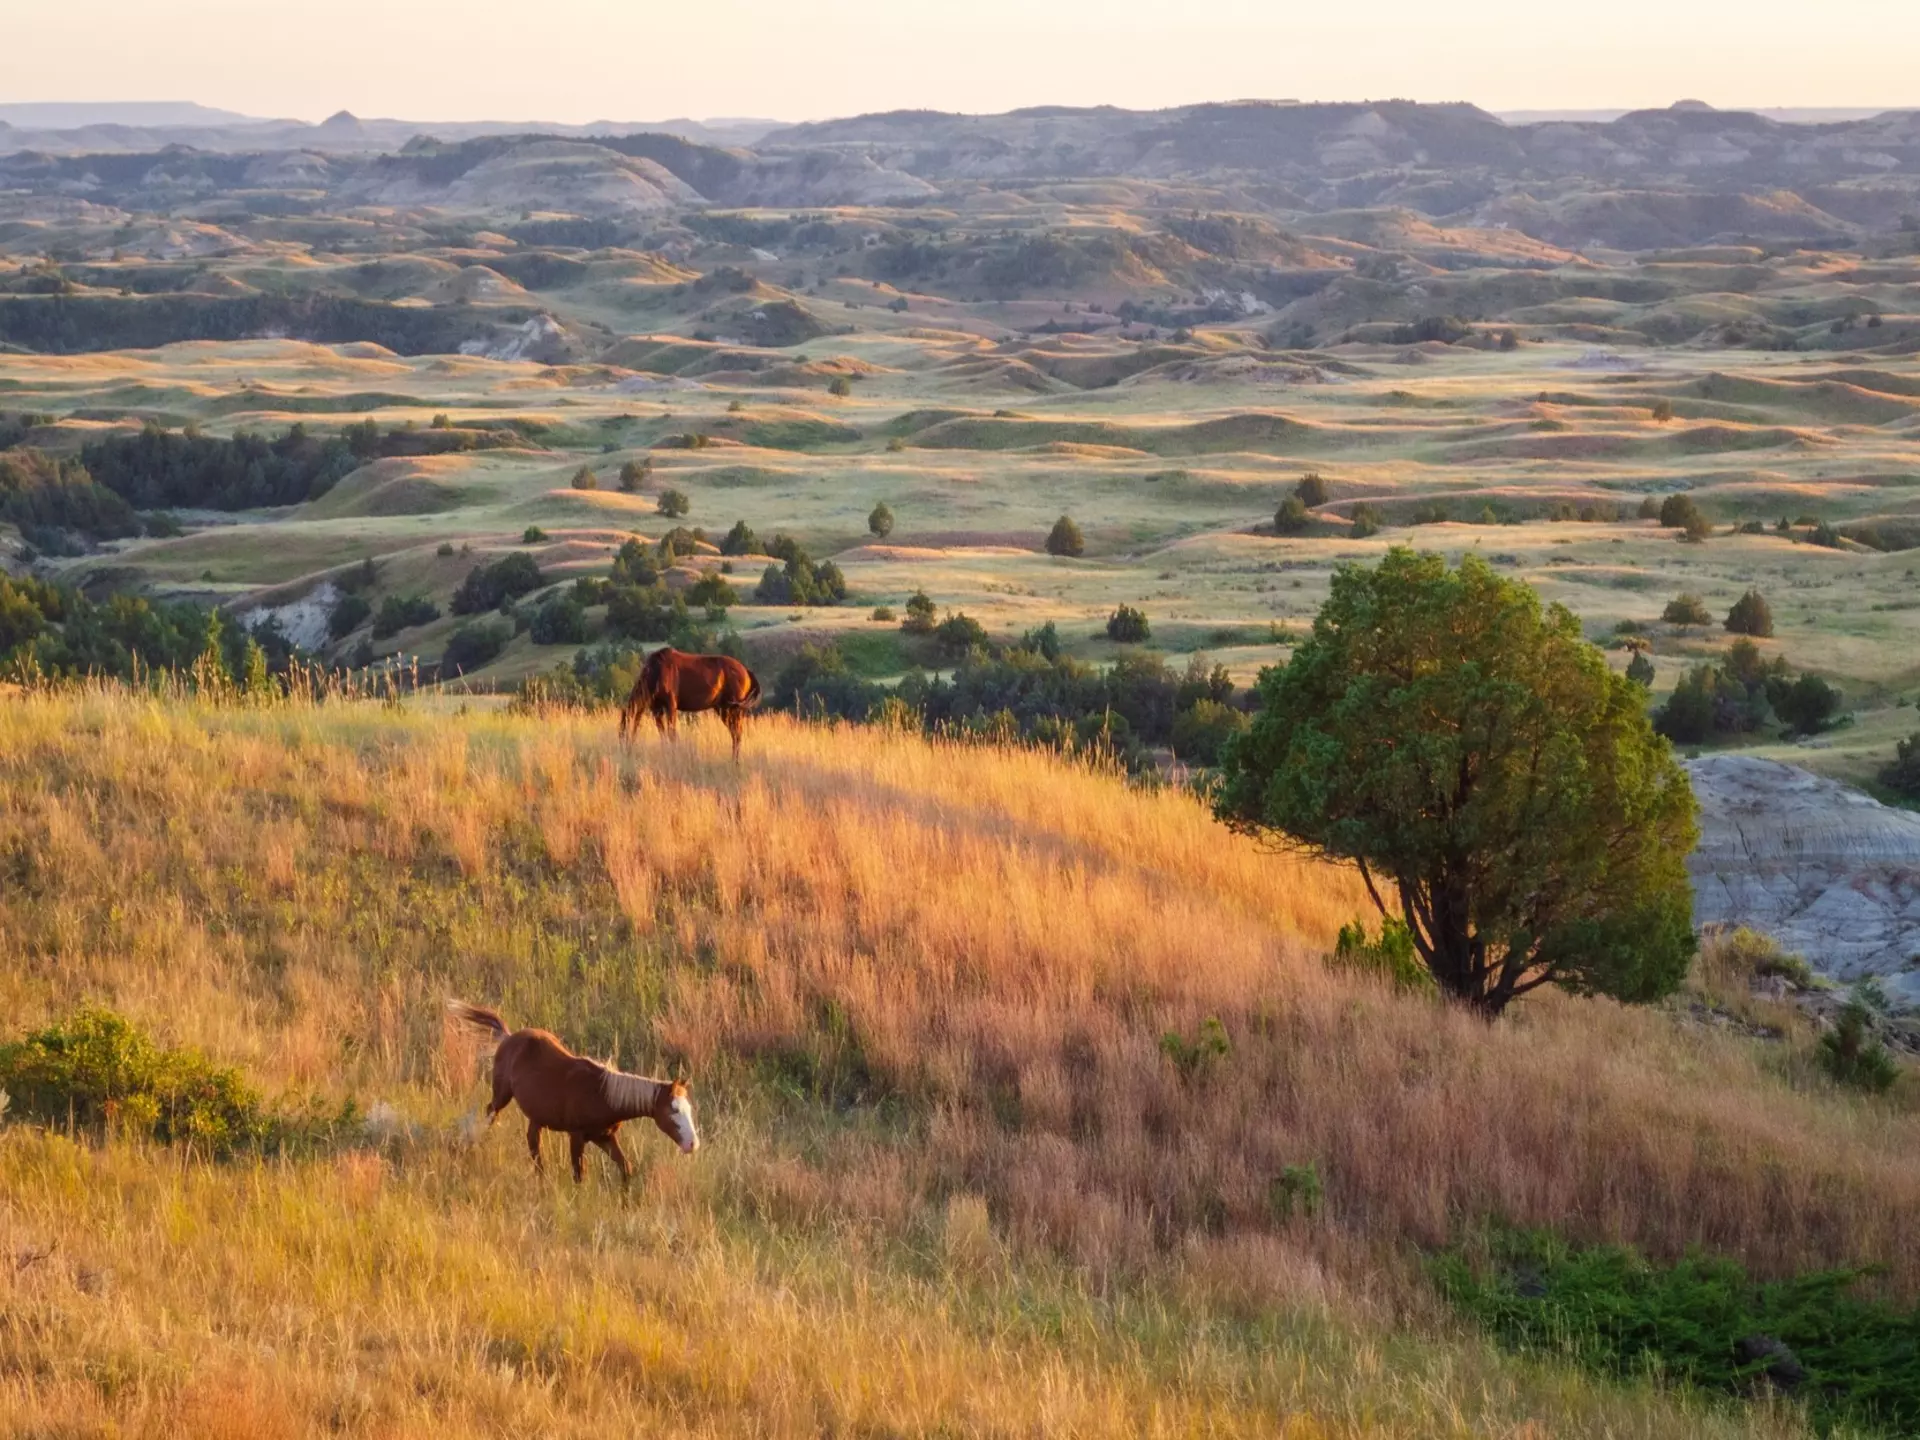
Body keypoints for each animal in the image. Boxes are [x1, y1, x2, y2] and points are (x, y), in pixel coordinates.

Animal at [447, 1000, 699, 1185]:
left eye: (688, 1109)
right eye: (674, 1110)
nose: (692, 1145)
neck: (603, 1095)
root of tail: (508, 1037)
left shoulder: (605, 1137)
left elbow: (625, 1168)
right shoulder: (577, 1137)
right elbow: (579, 1175)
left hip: (537, 1116)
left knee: (533, 1142)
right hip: (501, 1095)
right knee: (491, 1113)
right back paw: (471, 1143)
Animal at [619, 646, 762, 760]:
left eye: (624, 732)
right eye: (620, 732)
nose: (625, 751)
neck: (657, 671)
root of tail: (746, 671)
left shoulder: (671, 705)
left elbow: (672, 733)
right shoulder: (656, 709)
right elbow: (662, 734)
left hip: (734, 710)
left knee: (737, 733)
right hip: (723, 709)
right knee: (735, 733)